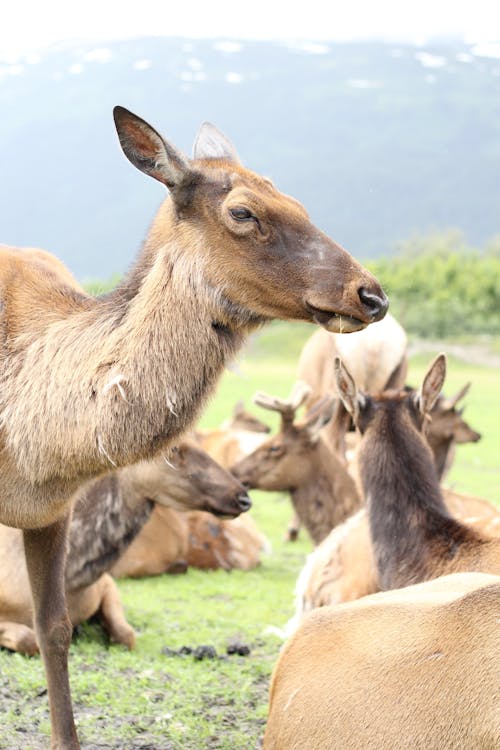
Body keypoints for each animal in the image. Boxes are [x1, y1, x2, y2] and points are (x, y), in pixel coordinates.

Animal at [0, 438, 250, 656]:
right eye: (174, 447)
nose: (243, 497)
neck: (73, 578)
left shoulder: (107, 583)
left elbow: (127, 635)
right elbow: (28, 639)